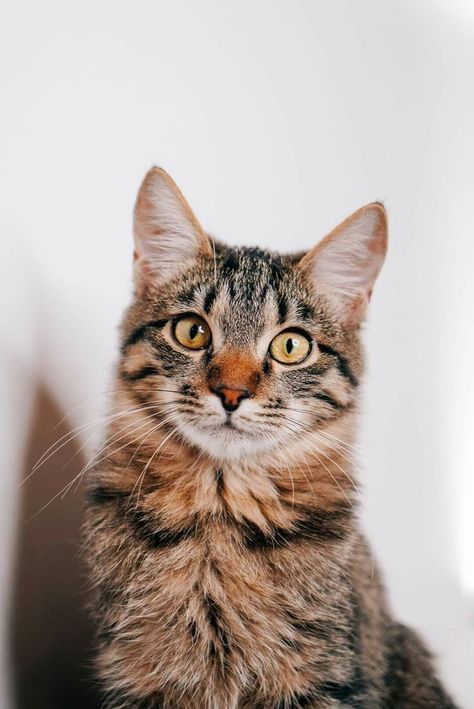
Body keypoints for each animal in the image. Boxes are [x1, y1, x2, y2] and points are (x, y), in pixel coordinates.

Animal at [83, 167, 458, 708]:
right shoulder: (135, 673)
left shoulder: (321, 678)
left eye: (291, 346)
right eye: (192, 331)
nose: (231, 393)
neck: (218, 515)